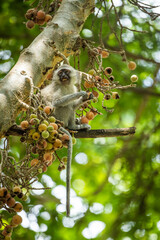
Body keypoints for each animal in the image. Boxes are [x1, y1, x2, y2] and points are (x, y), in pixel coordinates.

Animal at [41, 64, 94, 217]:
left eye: (66, 72)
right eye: (61, 73)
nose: (63, 75)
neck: (64, 85)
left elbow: (74, 104)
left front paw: (86, 97)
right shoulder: (59, 90)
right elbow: (57, 102)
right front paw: (81, 93)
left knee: (70, 106)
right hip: (58, 116)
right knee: (65, 106)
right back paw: (72, 126)